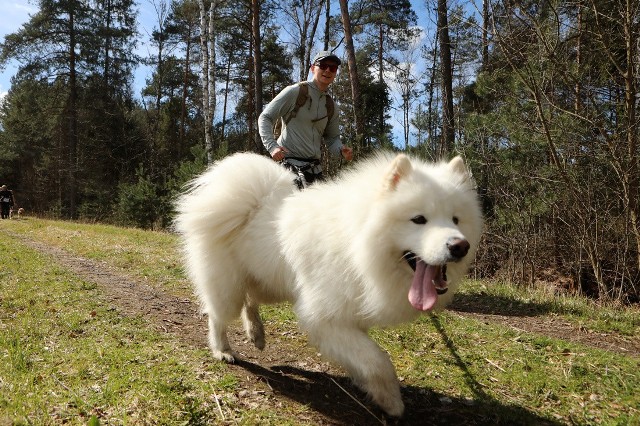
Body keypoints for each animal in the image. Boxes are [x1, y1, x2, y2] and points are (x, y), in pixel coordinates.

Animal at [172, 152, 482, 416]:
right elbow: (378, 361)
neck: (357, 243)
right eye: (419, 219)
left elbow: (364, 357)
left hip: (269, 282)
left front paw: (366, 384)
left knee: (251, 301)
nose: (460, 246)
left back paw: (256, 333)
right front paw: (391, 402)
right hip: (228, 287)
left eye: (456, 220)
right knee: (217, 316)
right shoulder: (325, 318)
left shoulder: (351, 316)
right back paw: (223, 350)